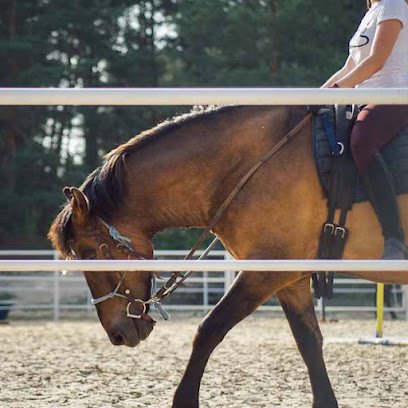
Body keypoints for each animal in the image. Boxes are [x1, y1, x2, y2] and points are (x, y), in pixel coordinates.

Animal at [48, 106, 408, 408]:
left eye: (91, 254)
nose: (118, 334)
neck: (251, 166)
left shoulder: (264, 272)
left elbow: (209, 330)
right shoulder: (289, 279)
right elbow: (309, 342)